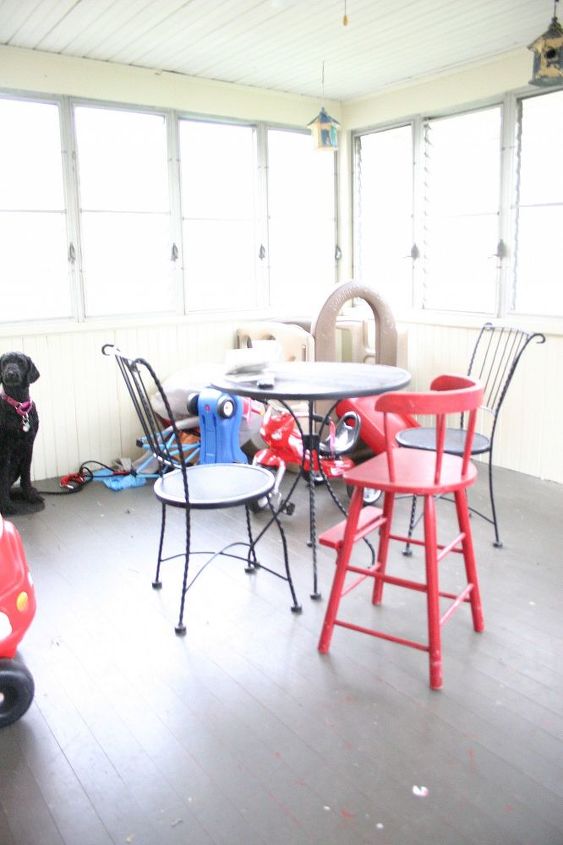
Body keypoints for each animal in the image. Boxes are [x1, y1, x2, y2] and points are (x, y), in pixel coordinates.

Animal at [0, 350, 43, 516]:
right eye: (4, 362)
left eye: (21, 362)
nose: (11, 373)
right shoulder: (5, 449)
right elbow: (3, 479)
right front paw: (6, 505)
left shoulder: (29, 445)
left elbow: (27, 474)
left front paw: (29, 495)